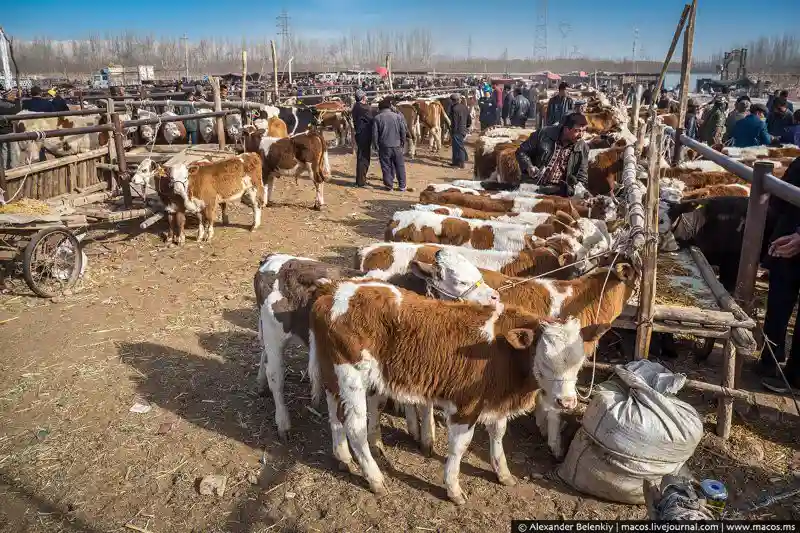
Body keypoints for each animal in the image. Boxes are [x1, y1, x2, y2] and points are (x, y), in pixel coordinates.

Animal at [253, 251, 496, 438]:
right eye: (460, 281)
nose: (494, 296)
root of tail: (272, 260)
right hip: (275, 335)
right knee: (276, 376)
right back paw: (283, 421)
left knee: (264, 356)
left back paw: (261, 384)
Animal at [306, 282, 608, 502]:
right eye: (544, 361)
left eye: (579, 361)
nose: (566, 402)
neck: (503, 351)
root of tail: (332, 295)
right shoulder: (466, 406)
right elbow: (460, 446)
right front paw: (453, 488)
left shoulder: (496, 399)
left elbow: (498, 435)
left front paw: (503, 473)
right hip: (350, 375)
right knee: (355, 427)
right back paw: (375, 478)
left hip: (334, 377)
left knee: (336, 417)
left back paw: (343, 458)